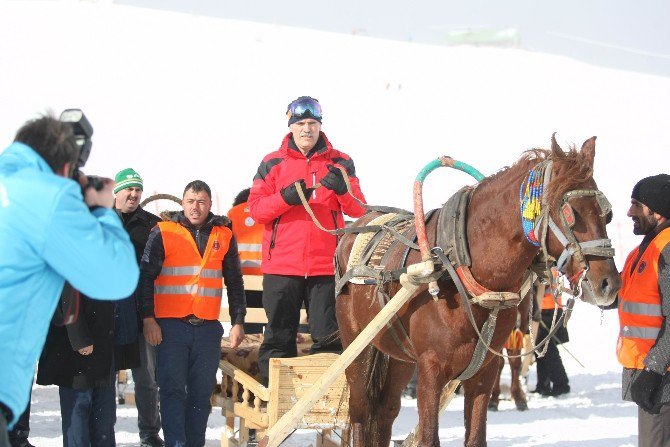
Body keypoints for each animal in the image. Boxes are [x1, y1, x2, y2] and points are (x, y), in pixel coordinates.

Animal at [338, 136, 624, 447]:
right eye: (570, 212)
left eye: (607, 213)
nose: (608, 284)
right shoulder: (430, 370)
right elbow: (429, 437)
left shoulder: (484, 369)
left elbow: (476, 435)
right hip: (358, 347)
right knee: (361, 412)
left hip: (398, 357)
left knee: (385, 411)